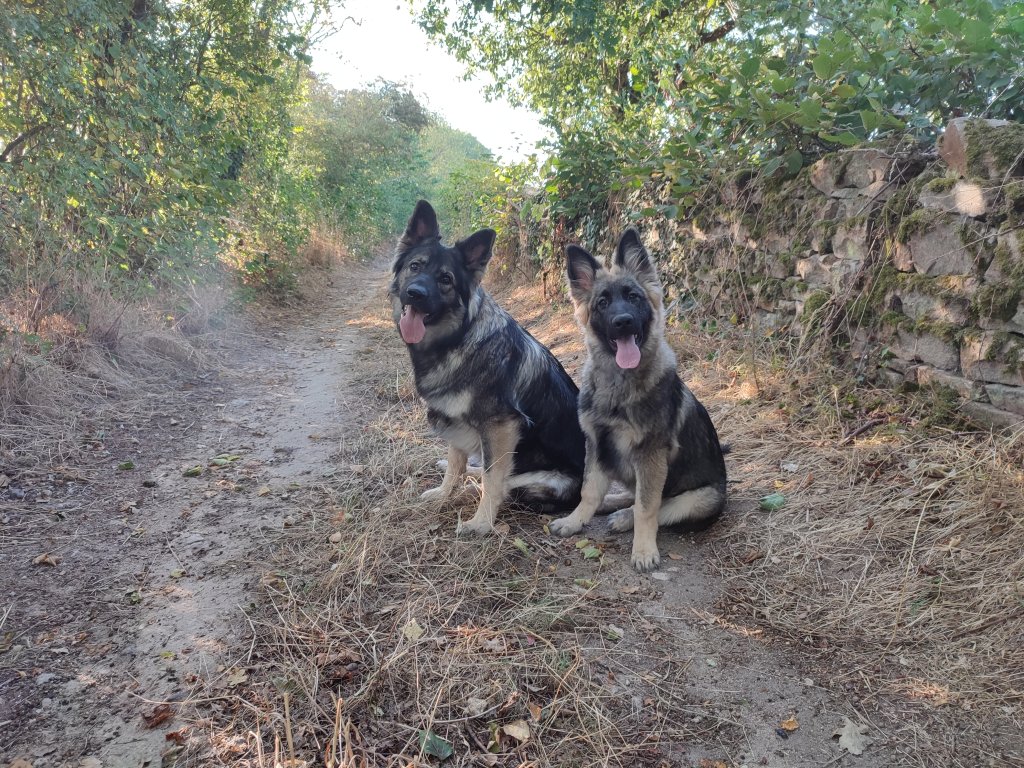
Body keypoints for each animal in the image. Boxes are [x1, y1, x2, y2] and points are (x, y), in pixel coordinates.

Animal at [390, 200, 586, 534]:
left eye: (445, 279)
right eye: (415, 266)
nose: (415, 293)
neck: (458, 338)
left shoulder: (501, 426)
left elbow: (492, 479)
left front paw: (480, 524)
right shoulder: (454, 416)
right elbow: (456, 463)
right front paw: (443, 493)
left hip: (539, 480)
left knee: (497, 480)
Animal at [549, 228, 727, 572]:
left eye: (633, 297)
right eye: (603, 302)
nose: (623, 321)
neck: (619, 384)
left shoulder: (650, 455)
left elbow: (648, 508)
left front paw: (643, 550)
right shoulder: (597, 444)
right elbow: (589, 490)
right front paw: (575, 520)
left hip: (703, 498)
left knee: (661, 506)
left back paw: (623, 517)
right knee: (632, 495)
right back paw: (612, 504)